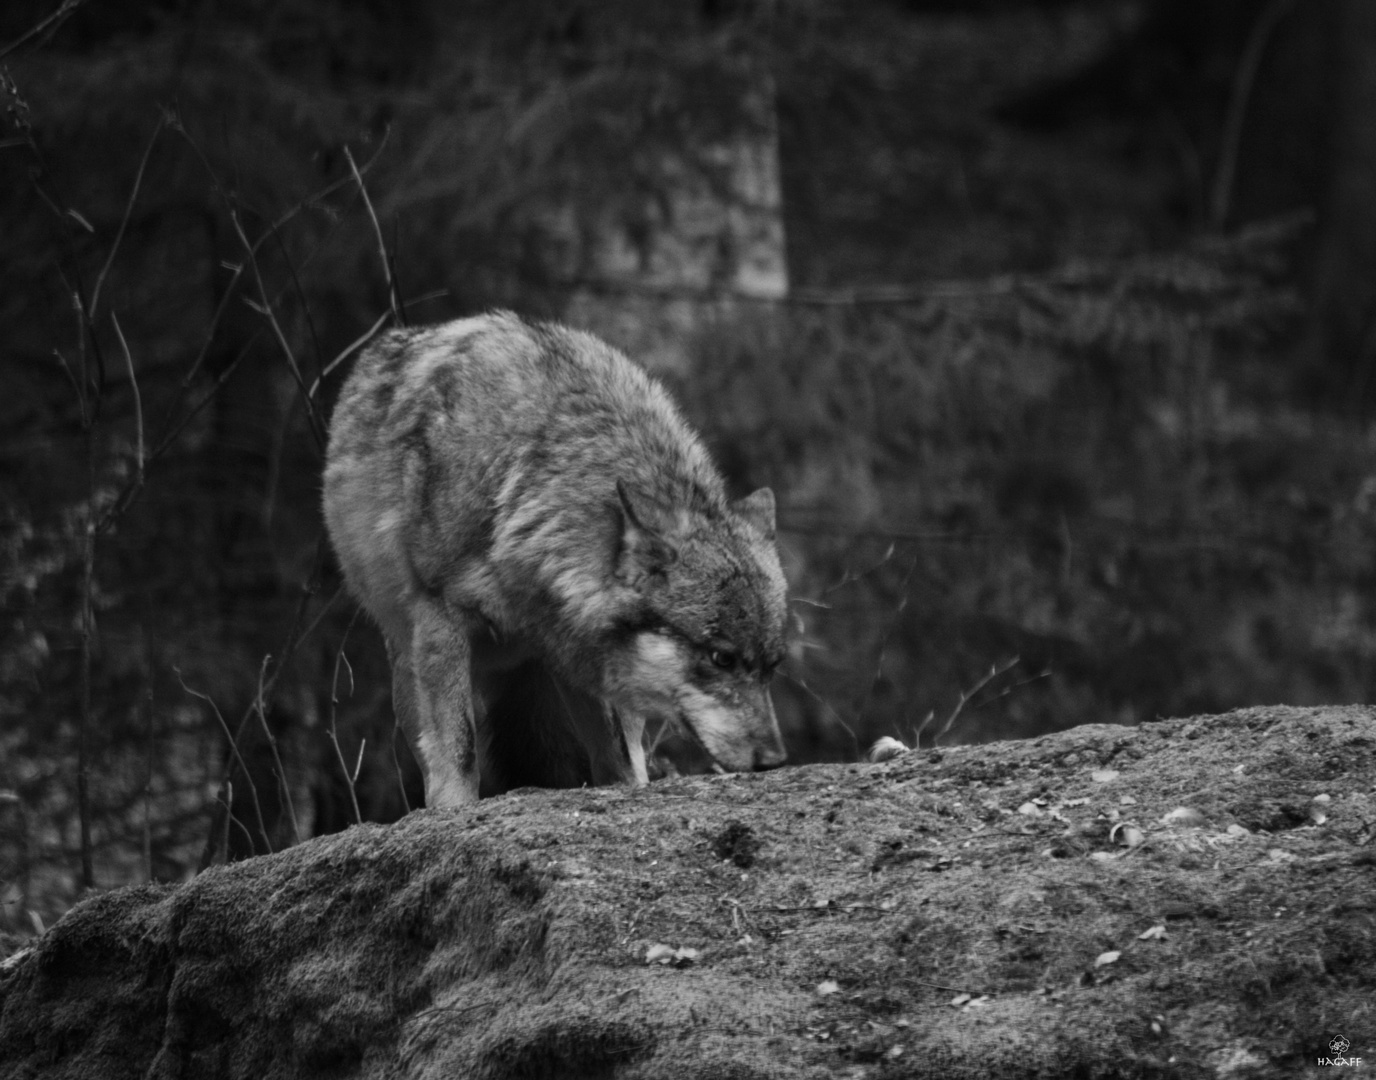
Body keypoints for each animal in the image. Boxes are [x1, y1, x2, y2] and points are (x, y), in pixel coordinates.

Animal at [323, 312, 792, 808]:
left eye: (773, 666)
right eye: (722, 658)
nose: (774, 762)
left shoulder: (584, 651)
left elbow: (621, 761)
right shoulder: (441, 616)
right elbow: (459, 749)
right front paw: (455, 811)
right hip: (408, 668)